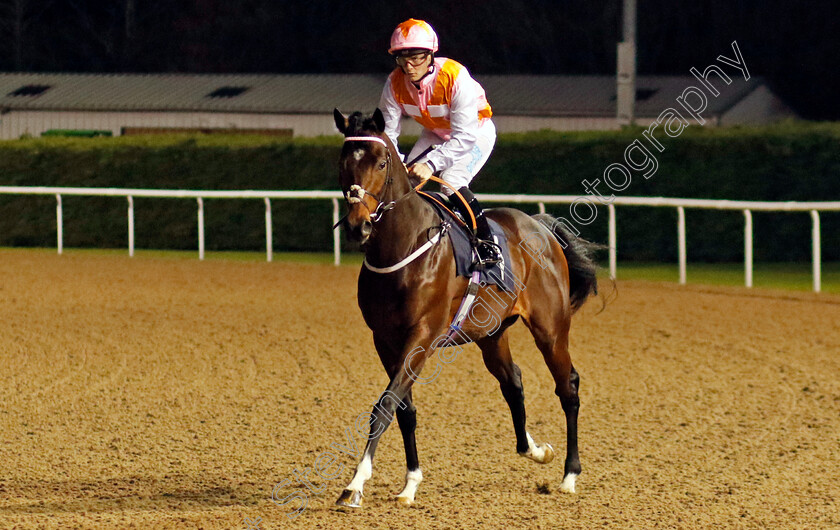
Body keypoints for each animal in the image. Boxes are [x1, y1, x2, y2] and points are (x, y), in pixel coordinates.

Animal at [332, 108, 600, 508]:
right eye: (343, 163)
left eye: (381, 162)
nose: (356, 226)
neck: (401, 248)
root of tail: (540, 226)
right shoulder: (385, 339)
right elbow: (403, 409)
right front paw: (410, 483)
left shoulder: (422, 335)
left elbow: (385, 405)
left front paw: (355, 484)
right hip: (491, 333)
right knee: (513, 381)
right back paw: (535, 450)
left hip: (551, 329)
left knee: (567, 386)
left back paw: (569, 474)